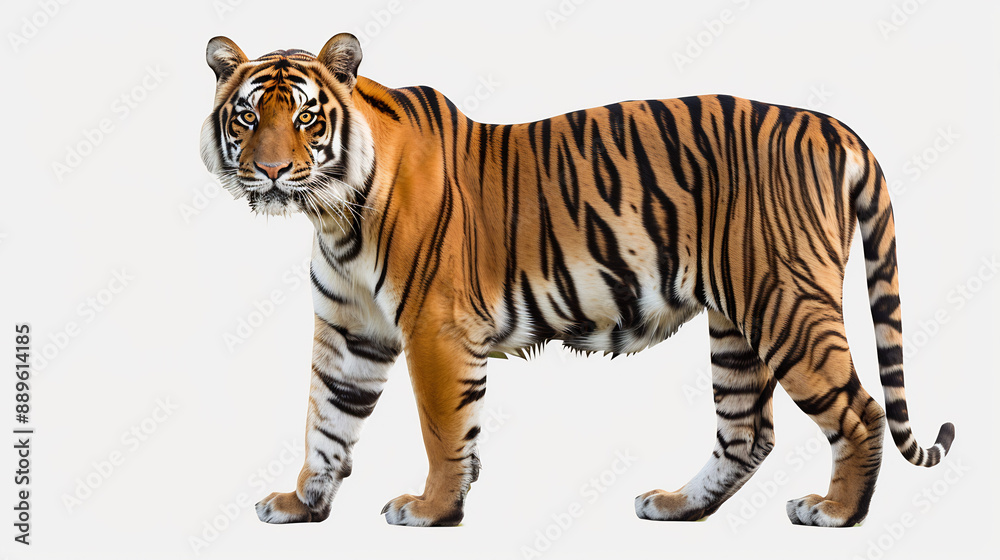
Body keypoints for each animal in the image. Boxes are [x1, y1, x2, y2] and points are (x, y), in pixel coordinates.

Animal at [200, 33, 955, 528]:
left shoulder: (435, 329)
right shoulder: (351, 330)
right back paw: (676, 506)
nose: (270, 171)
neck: (332, 212)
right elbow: (326, 420)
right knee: (746, 433)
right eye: (248, 115)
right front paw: (302, 504)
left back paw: (837, 513)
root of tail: (834, 127)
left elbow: (443, 430)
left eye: (306, 116)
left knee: (859, 413)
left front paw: (433, 510)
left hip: (786, 303)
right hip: (736, 322)